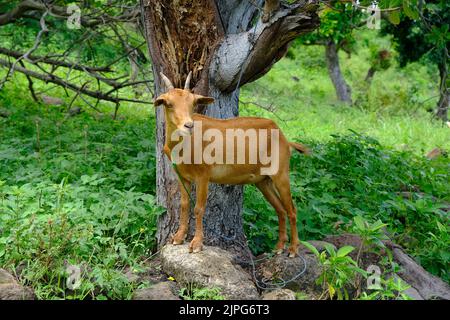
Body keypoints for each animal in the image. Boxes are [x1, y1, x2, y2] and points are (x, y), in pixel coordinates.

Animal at [156, 73, 310, 258]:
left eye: (193, 103)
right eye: (169, 103)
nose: (189, 125)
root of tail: (285, 139)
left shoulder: (203, 176)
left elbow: (199, 208)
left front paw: (196, 244)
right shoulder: (182, 176)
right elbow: (184, 205)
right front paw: (178, 237)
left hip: (281, 174)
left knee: (292, 210)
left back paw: (293, 249)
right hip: (263, 181)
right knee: (280, 209)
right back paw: (279, 247)